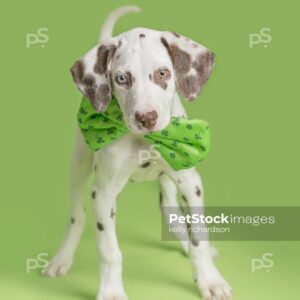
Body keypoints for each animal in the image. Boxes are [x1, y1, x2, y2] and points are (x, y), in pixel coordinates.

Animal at [43, 5, 233, 300]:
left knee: (169, 211)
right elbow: (109, 251)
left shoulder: (190, 183)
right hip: (79, 166)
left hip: (168, 180)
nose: (146, 118)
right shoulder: (103, 194)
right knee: (77, 216)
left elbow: (198, 238)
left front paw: (210, 280)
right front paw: (111, 291)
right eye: (121, 79)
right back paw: (61, 259)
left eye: (163, 73)